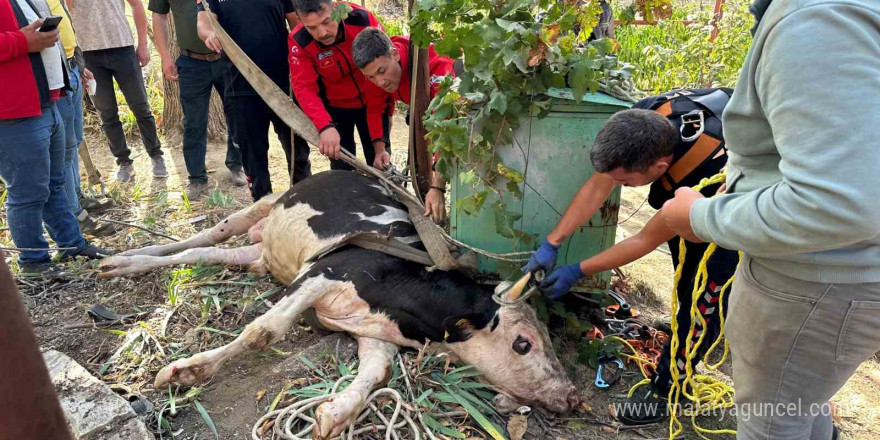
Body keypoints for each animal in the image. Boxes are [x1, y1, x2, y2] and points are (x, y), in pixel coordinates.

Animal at [99, 171, 580, 436]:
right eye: (523, 343)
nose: (572, 396)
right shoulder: (323, 272)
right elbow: (262, 331)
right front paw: (190, 370)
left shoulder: (377, 332)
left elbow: (375, 373)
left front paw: (336, 411)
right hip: (267, 202)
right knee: (208, 234)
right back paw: (127, 259)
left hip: (261, 254)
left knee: (212, 254)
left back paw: (128, 262)